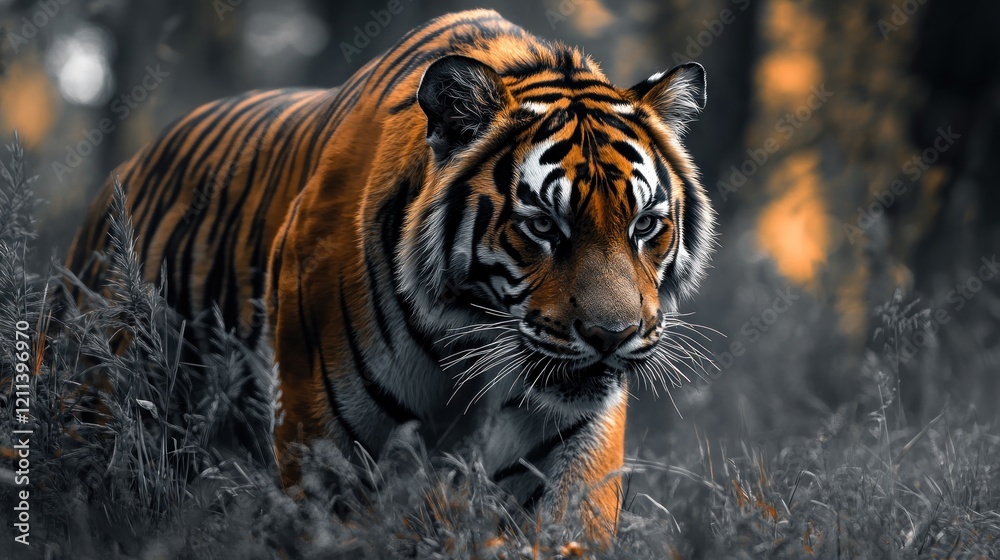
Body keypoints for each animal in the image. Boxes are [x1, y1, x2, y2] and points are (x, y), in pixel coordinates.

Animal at [66, 9, 715, 541]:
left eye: (645, 225)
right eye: (541, 226)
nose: (611, 336)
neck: (466, 338)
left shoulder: (575, 445)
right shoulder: (322, 442)